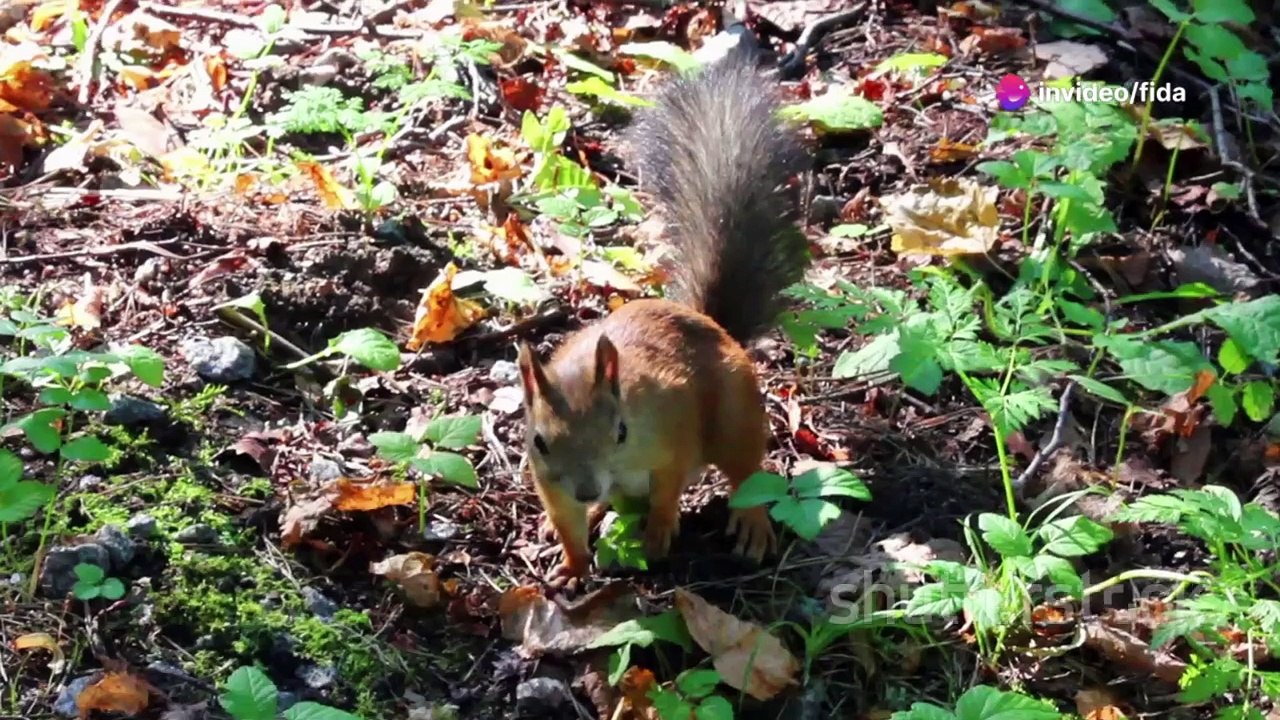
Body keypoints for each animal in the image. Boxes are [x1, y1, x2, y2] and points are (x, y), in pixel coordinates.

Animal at [516, 43, 810, 582]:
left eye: (620, 431)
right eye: (540, 441)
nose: (587, 488)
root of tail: (714, 326)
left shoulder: (672, 429)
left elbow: (670, 484)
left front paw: (657, 529)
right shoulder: (549, 480)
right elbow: (566, 521)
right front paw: (572, 562)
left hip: (735, 418)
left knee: (747, 474)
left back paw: (751, 525)